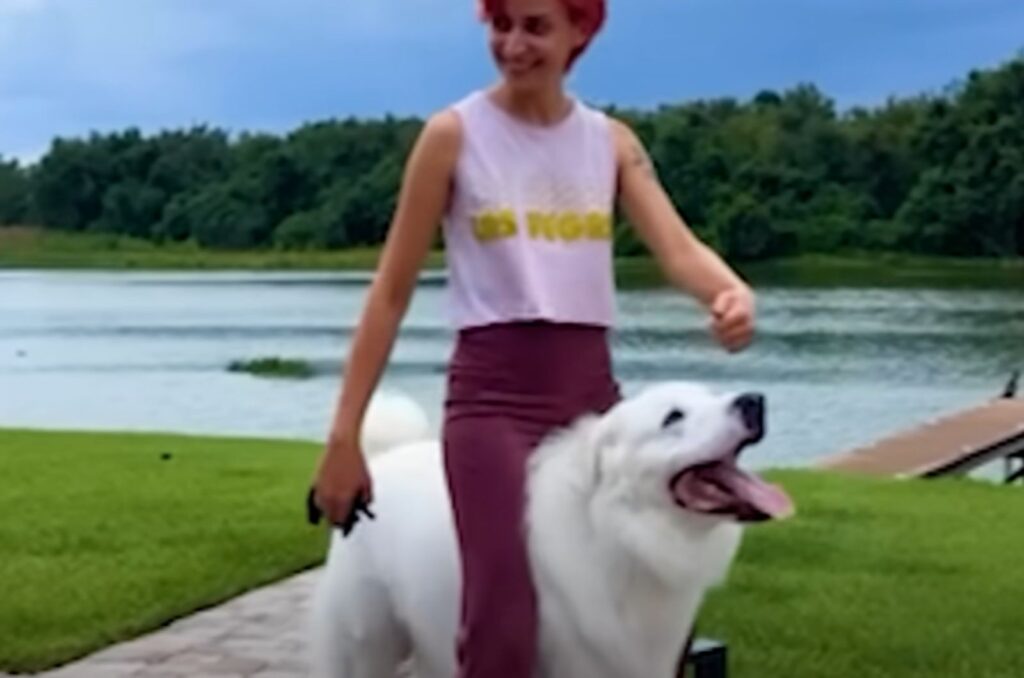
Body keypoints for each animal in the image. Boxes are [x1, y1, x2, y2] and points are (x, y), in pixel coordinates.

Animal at [307, 383, 794, 678]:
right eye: (673, 418)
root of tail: (382, 456)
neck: (620, 534)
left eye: (713, 395)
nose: (754, 400)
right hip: (366, 641)